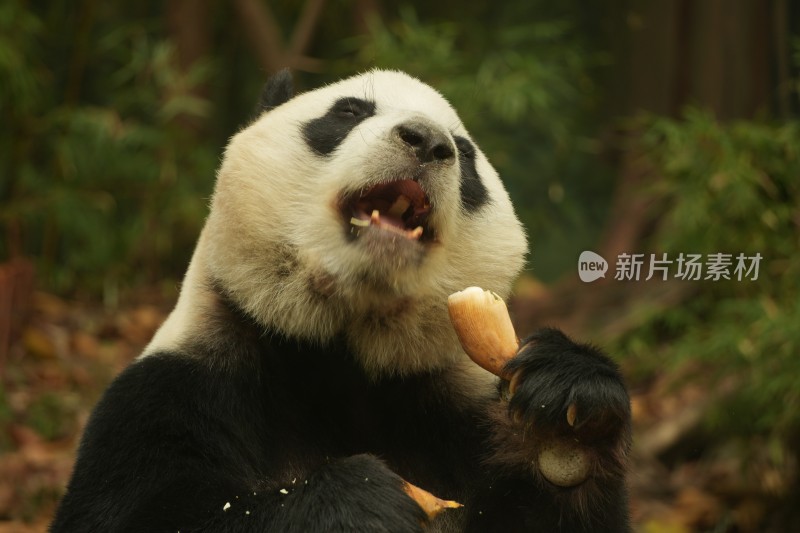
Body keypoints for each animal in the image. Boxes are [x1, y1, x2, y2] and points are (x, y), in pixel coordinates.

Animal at [53, 70, 636, 532]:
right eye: (350, 111)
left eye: (465, 156)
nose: (427, 141)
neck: (340, 349)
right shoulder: (173, 392)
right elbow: (140, 514)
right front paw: (357, 502)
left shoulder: (447, 406)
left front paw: (565, 419)